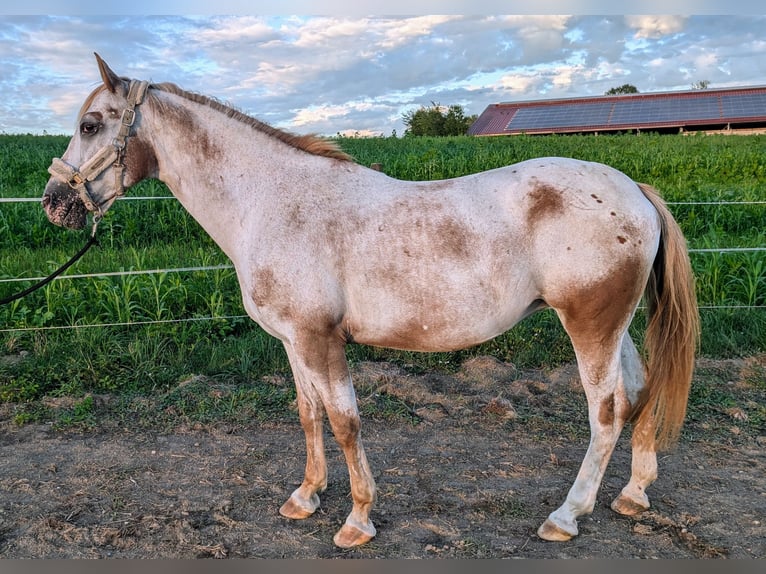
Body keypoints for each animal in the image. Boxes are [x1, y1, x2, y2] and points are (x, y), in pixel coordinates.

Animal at [42, 54, 699, 549]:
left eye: (92, 124)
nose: (54, 202)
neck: (273, 199)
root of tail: (633, 190)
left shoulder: (319, 340)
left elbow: (345, 422)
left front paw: (358, 520)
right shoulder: (294, 342)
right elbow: (309, 414)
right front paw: (305, 497)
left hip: (590, 326)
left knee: (606, 411)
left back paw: (567, 515)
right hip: (614, 327)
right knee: (639, 390)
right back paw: (632, 494)